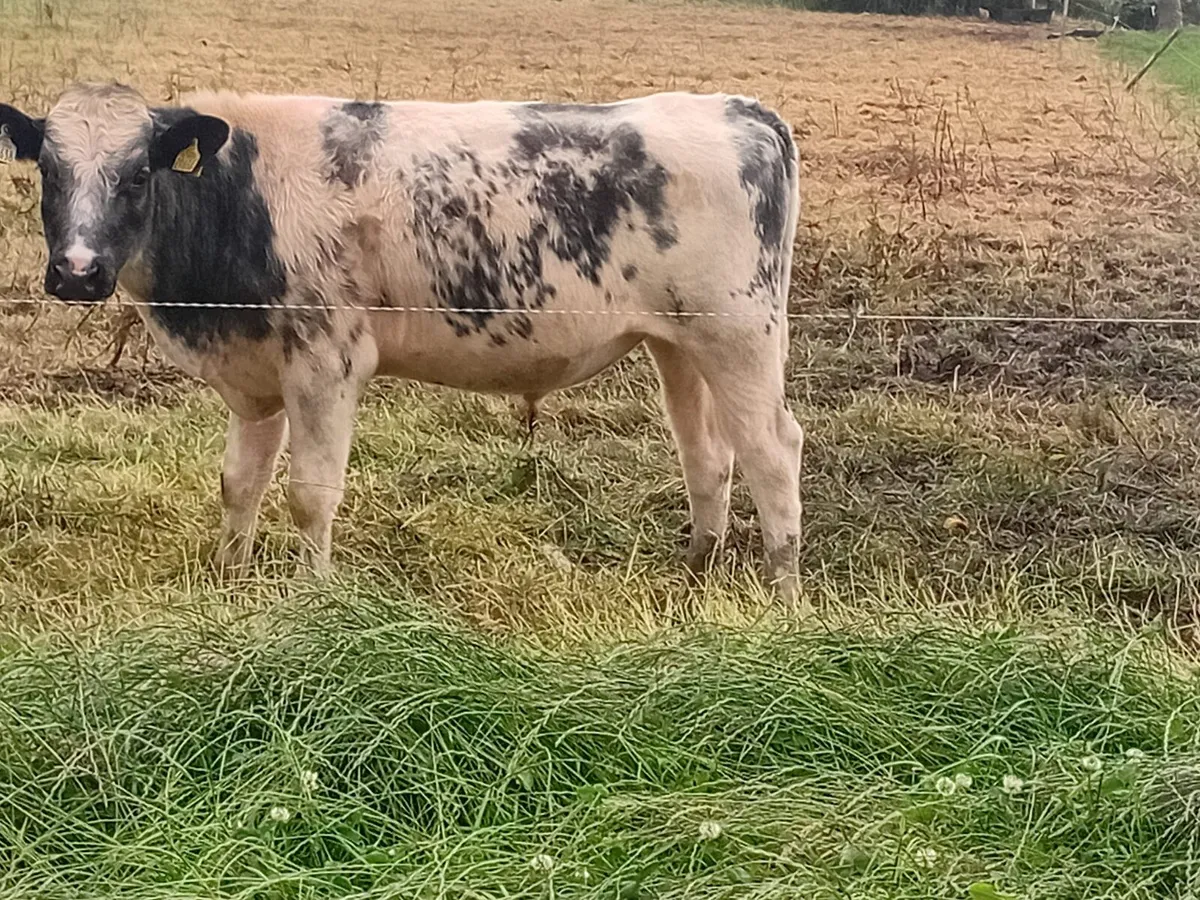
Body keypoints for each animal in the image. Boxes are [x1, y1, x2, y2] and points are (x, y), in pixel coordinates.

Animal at [0, 83, 806, 604]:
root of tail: (740, 109)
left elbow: (309, 494)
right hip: (680, 344)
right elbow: (239, 484)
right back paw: (696, 570)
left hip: (741, 335)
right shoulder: (255, 373)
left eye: (138, 173)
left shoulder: (326, 362)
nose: (77, 271)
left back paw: (783, 592)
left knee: (772, 449)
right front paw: (229, 581)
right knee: (708, 455)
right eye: (48, 172)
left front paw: (314, 599)